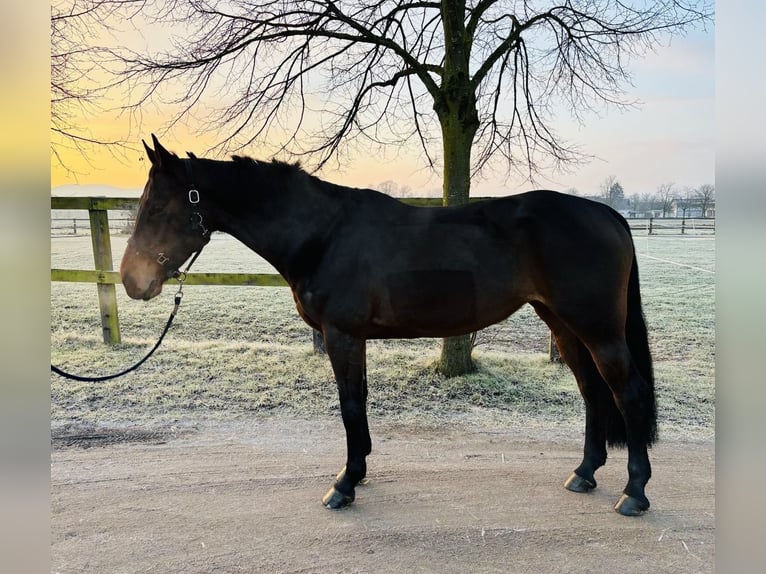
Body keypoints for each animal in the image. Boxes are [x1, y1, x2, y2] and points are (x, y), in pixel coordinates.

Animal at [121, 137, 660, 520]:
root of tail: (607, 213)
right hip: (564, 326)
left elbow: (349, 405)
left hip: (598, 329)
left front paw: (344, 485)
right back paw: (584, 473)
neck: (324, 233)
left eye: (158, 207)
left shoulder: (342, 334)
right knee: (592, 392)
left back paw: (634, 492)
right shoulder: (352, 337)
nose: (131, 280)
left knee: (626, 392)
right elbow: (357, 402)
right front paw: (356, 473)